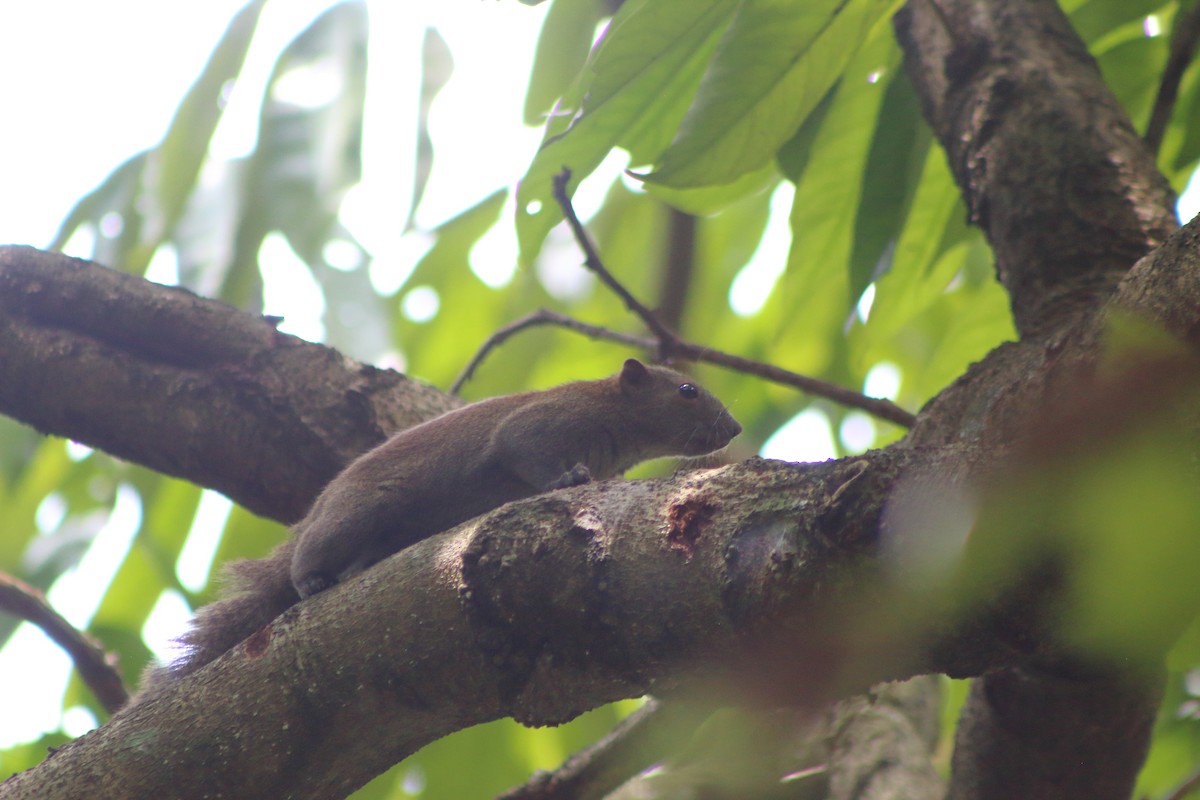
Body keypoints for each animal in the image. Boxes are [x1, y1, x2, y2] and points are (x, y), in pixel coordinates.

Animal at [152, 359, 741, 688]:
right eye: (686, 391)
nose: (734, 427)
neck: (613, 418)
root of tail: (319, 507)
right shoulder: (542, 423)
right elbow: (523, 451)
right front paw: (566, 477)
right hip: (354, 512)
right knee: (309, 555)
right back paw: (310, 578)